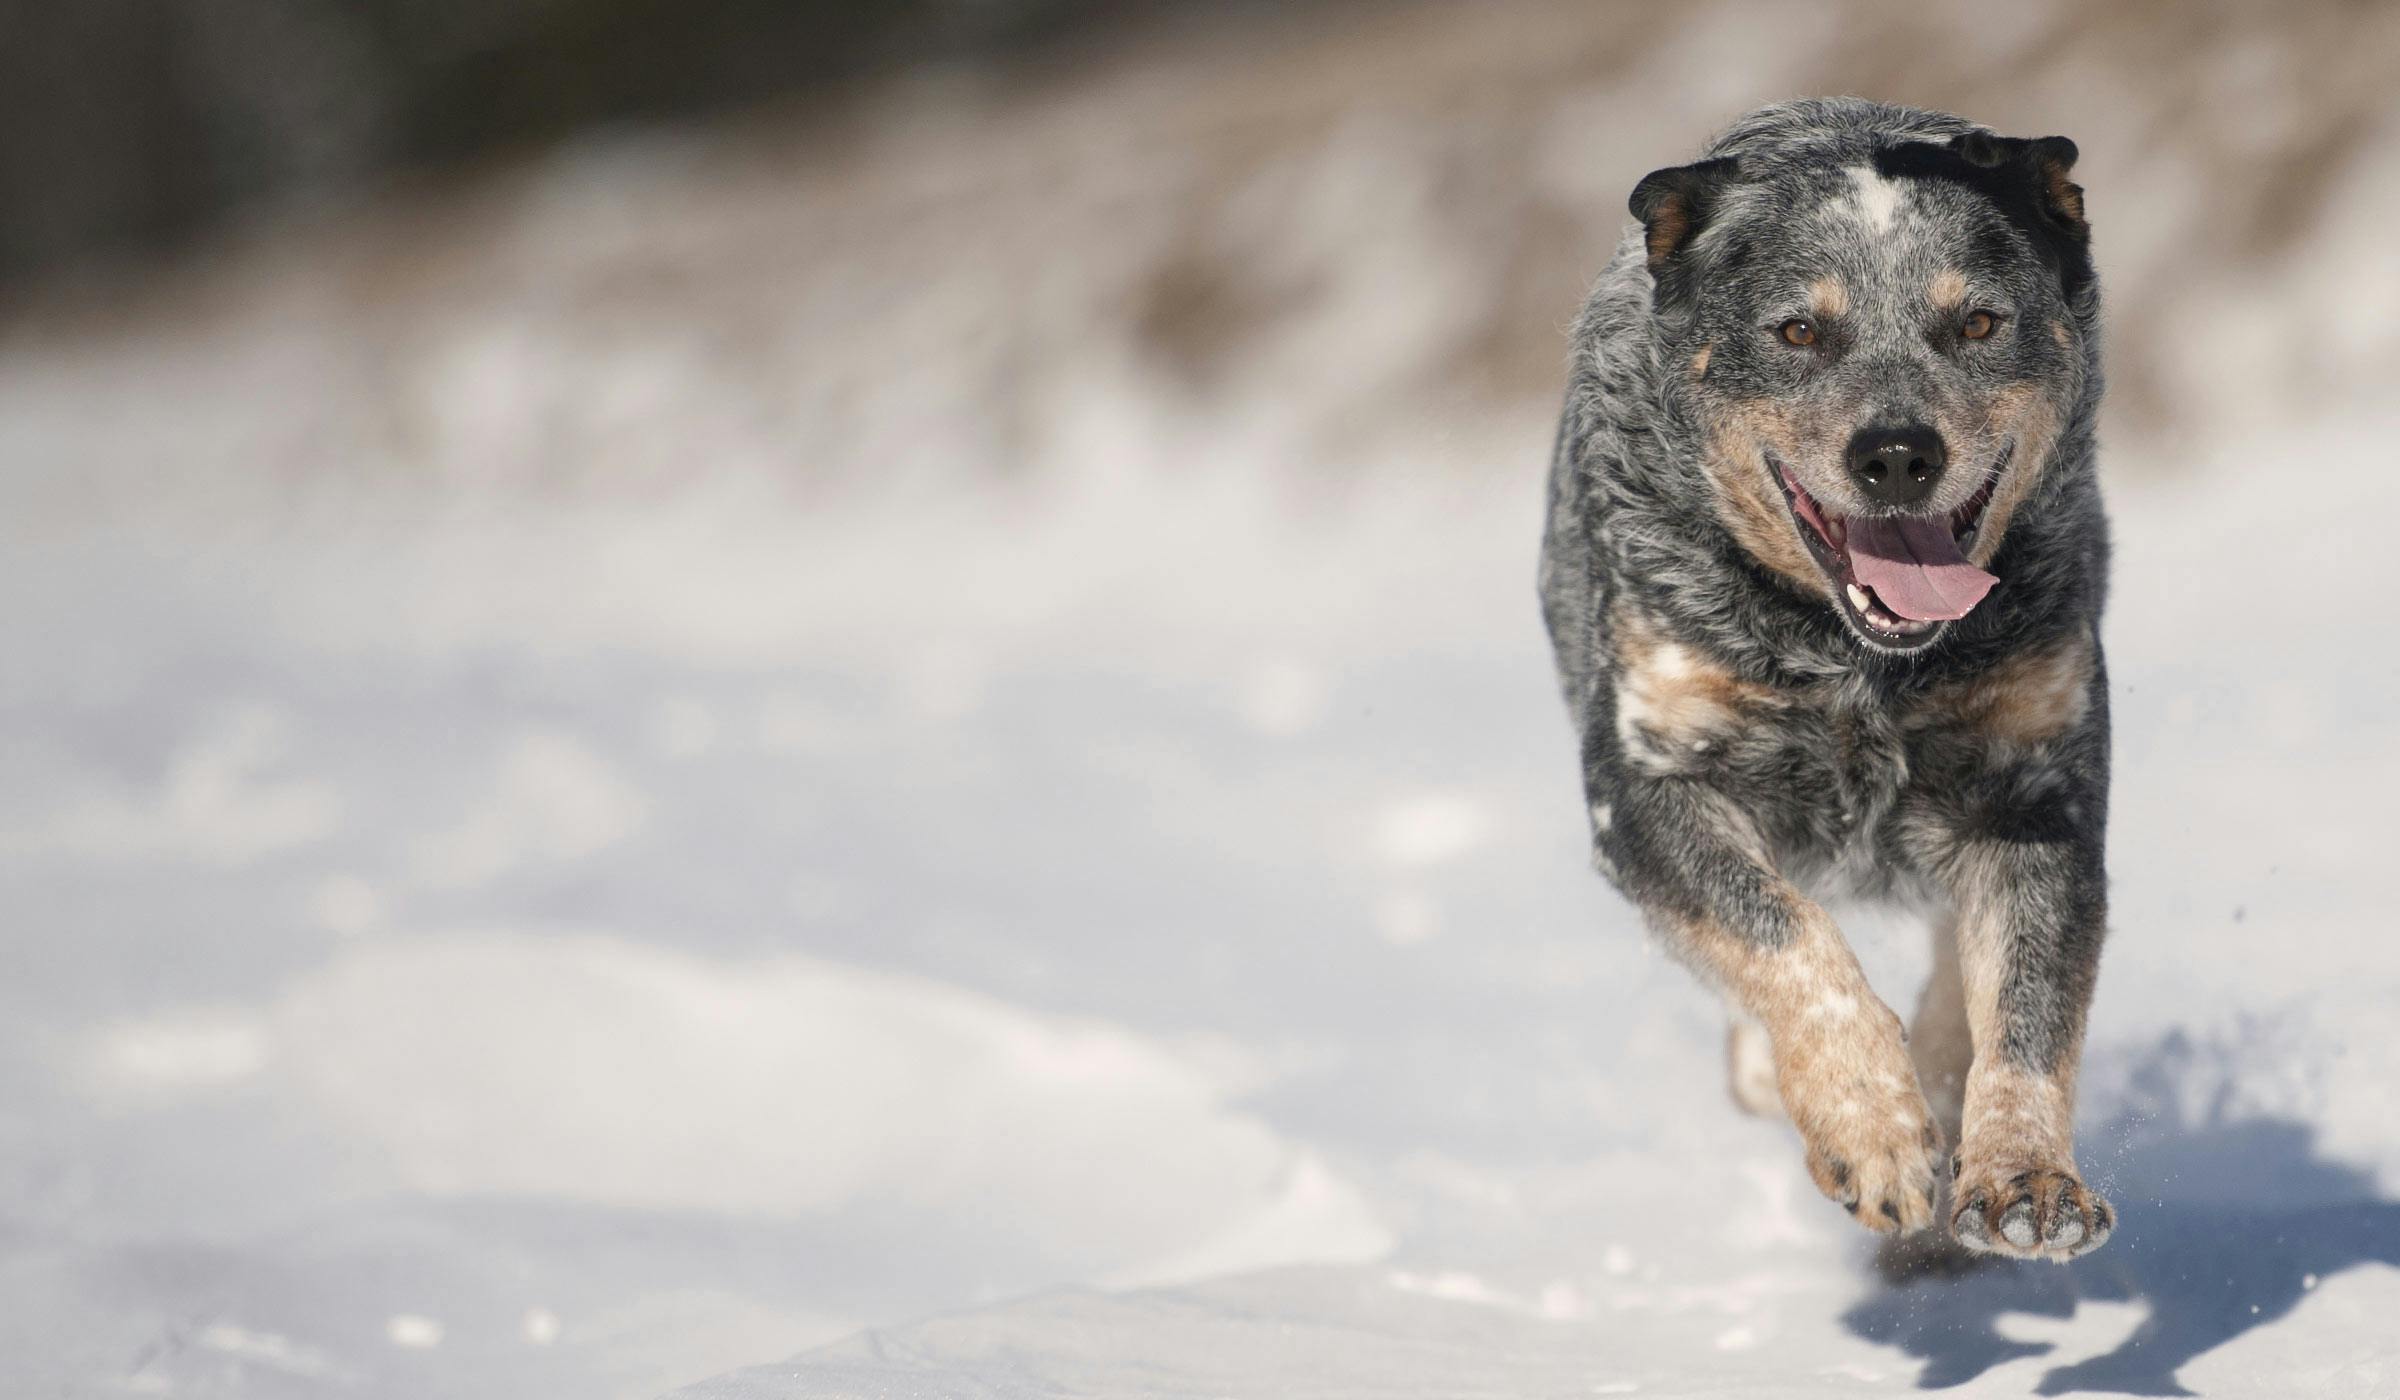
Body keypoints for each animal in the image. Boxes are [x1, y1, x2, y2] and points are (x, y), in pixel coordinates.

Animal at [1545, 98, 2112, 1258]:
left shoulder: (2040, 784)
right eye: (1799, 332)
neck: (1860, 672)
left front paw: (2023, 1172)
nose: (1896, 451)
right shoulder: (1645, 784)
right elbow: (1785, 933)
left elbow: (2028, 1007)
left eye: (1977, 323)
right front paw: (1874, 1127)